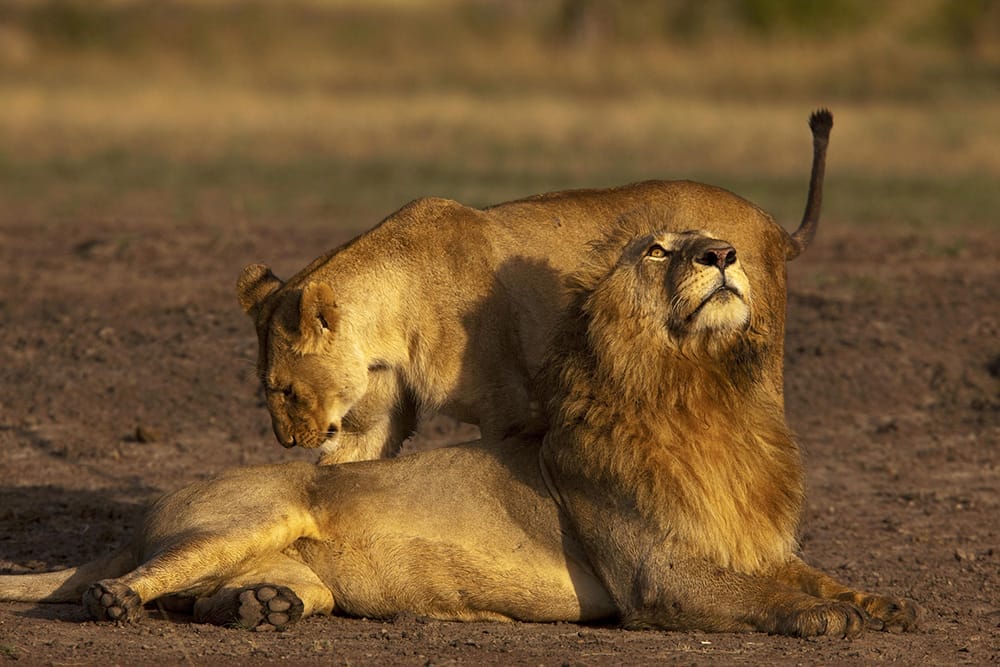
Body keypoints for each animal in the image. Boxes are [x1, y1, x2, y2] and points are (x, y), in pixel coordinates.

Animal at [238, 109, 832, 464]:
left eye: (283, 389)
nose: (287, 441)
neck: (388, 324)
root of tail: (771, 225)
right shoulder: (372, 422)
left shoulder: (513, 412)